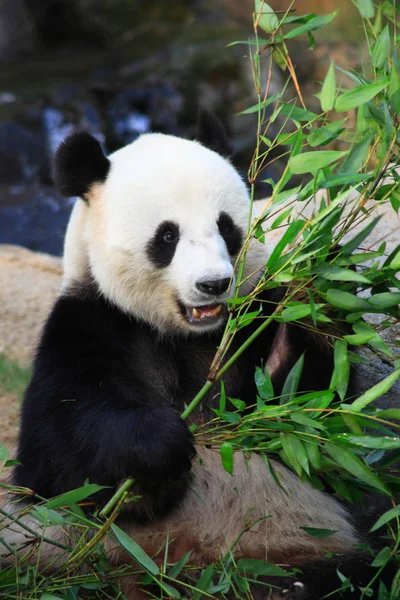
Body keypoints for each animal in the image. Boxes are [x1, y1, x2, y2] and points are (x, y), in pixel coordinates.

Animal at [0, 111, 394, 596]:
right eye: (167, 236)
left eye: (226, 227)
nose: (213, 284)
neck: (181, 334)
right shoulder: (89, 327)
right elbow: (63, 454)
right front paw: (159, 446)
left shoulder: (244, 334)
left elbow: (309, 419)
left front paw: (315, 288)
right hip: (61, 554)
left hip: (303, 548)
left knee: (350, 574)